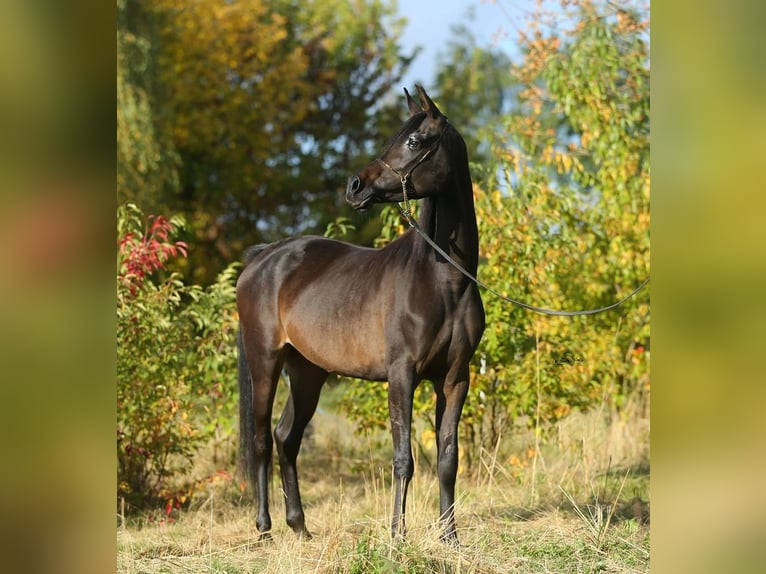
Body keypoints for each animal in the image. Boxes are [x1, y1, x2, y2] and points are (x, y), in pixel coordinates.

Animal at [237, 84, 486, 544]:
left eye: (414, 141)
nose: (355, 186)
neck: (443, 279)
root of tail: (263, 256)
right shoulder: (402, 373)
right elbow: (404, 458)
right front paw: (397, 537)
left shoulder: (454, 377)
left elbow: (448, 457)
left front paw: (450, 538)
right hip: (265, 361)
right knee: (262, 439)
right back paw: (264, 529)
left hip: (307, 371)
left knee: (286, 437)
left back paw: (300, 528)